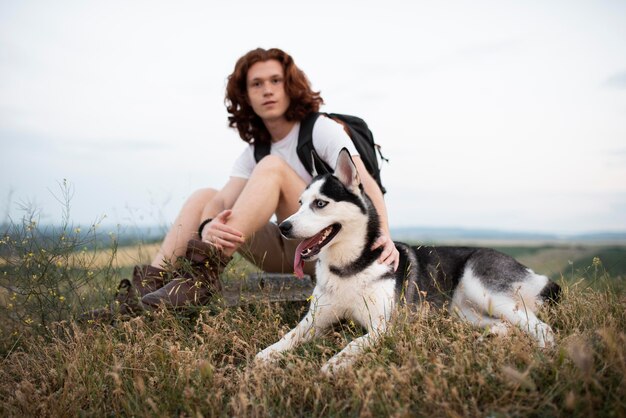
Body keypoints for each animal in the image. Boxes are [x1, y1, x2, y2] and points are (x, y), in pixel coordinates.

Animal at [254, 149, 556, 374]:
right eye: (300, 202)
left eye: (320, 203)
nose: (284, 226)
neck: (349, 268)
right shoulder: (315, 320)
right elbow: (289, 336)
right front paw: (265, 356)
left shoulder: (383, 326)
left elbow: (355, 344)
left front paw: (335, 363)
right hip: (463, 311)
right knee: (504, 324)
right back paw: (488, 338)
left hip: (482, 287)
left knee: (541, 326)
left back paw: (543, 355)